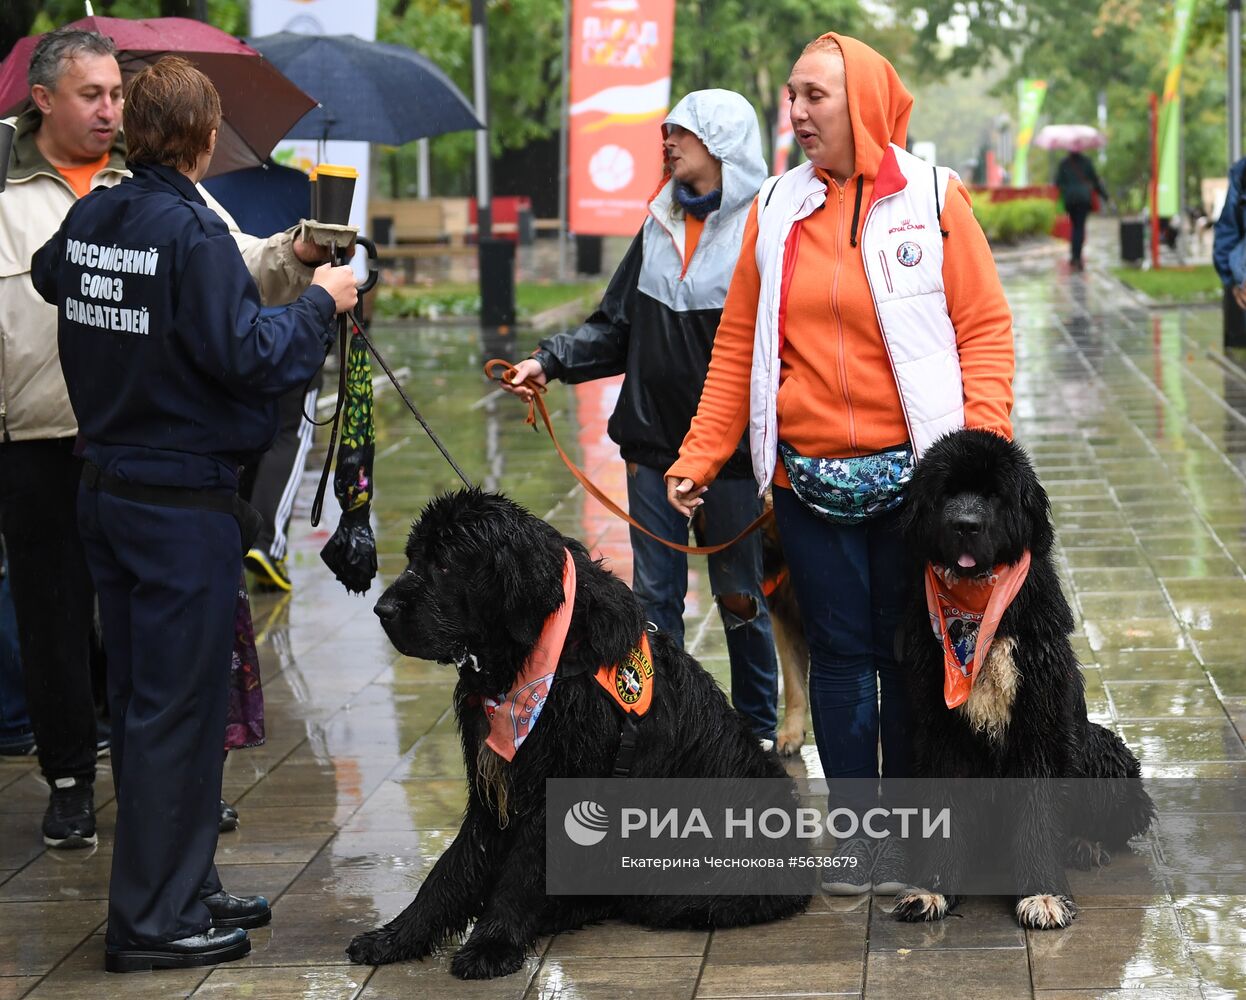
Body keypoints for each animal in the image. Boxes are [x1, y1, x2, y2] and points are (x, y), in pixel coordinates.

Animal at [346, 488, 807, 981]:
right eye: (414, 557)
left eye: (446, 563)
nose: (381, 610)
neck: (537, 653)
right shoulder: (494, 787)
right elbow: (450, 872)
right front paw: (396, 936)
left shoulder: (560, 784)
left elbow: (522, 871)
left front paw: (492, 942)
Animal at [892, 428, 1151, 931]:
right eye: (947, 493)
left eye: (994, 495)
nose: (966, 524)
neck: (979, 614)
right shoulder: (938, 731)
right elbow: (943, 806)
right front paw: (933, 887)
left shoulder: (1041, 726)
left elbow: (1038, 813)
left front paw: (1043, 893)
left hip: (1100, 749)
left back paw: (1085, 844)